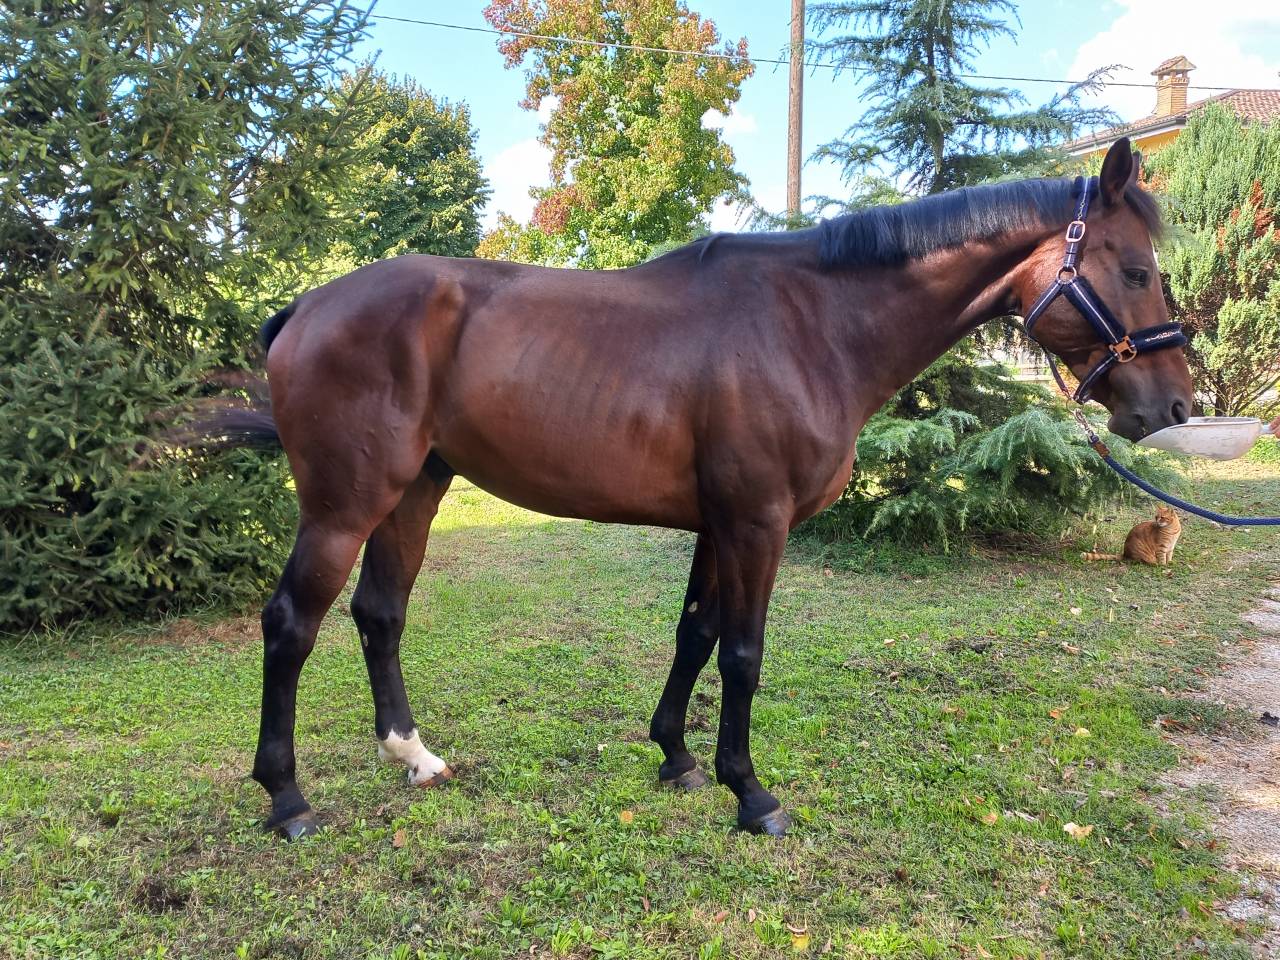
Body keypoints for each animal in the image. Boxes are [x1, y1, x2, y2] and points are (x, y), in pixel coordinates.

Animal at [209, 137, 1193, 840]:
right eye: (1137, 270)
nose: (1175, 403)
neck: (814, 327)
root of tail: (307, 305)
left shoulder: (719, 525)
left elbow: (696, 634)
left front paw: (677, 757)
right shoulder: (758, 523)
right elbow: (744, 653)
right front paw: (750, 793)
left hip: (415, 490)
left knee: (380, 613)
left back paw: (414, 756)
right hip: (343, 505)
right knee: (290, 625)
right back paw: (286, 799)